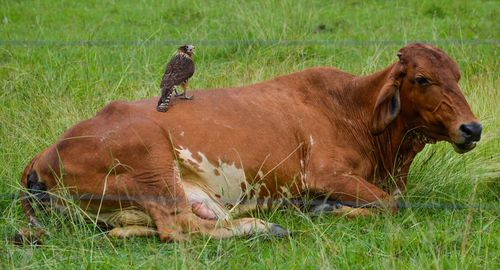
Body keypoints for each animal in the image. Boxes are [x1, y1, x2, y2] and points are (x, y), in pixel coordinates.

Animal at [16, 43, 480, 243]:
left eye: (457, 75)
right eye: (422, 78)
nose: (473, 128)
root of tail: (45, 152)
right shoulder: (324, 173)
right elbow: (390, 203)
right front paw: (325, 209)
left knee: (135, 228)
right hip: (152, 165)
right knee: (176, 228)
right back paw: (262, 226)